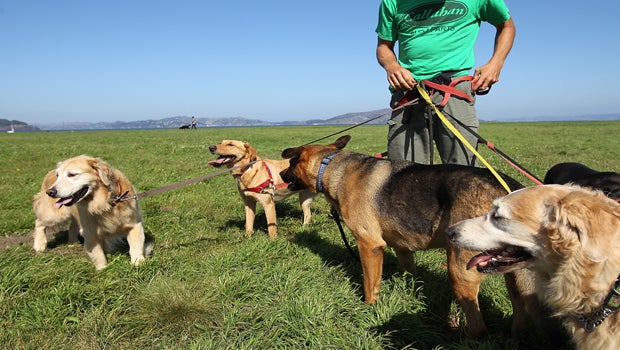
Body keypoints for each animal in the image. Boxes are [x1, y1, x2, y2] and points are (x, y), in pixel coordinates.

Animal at [280, 135, 544, 338]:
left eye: (290, 164)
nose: (281, 174)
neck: (331, 166)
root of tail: (508, 190)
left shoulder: (369, 245)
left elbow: (369, 284)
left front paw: (369, 307)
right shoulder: (402, 248)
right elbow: (410, 271)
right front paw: (408, 288)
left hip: (460, 269)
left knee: (478, 326)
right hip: (513, 273)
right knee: (519, 310)